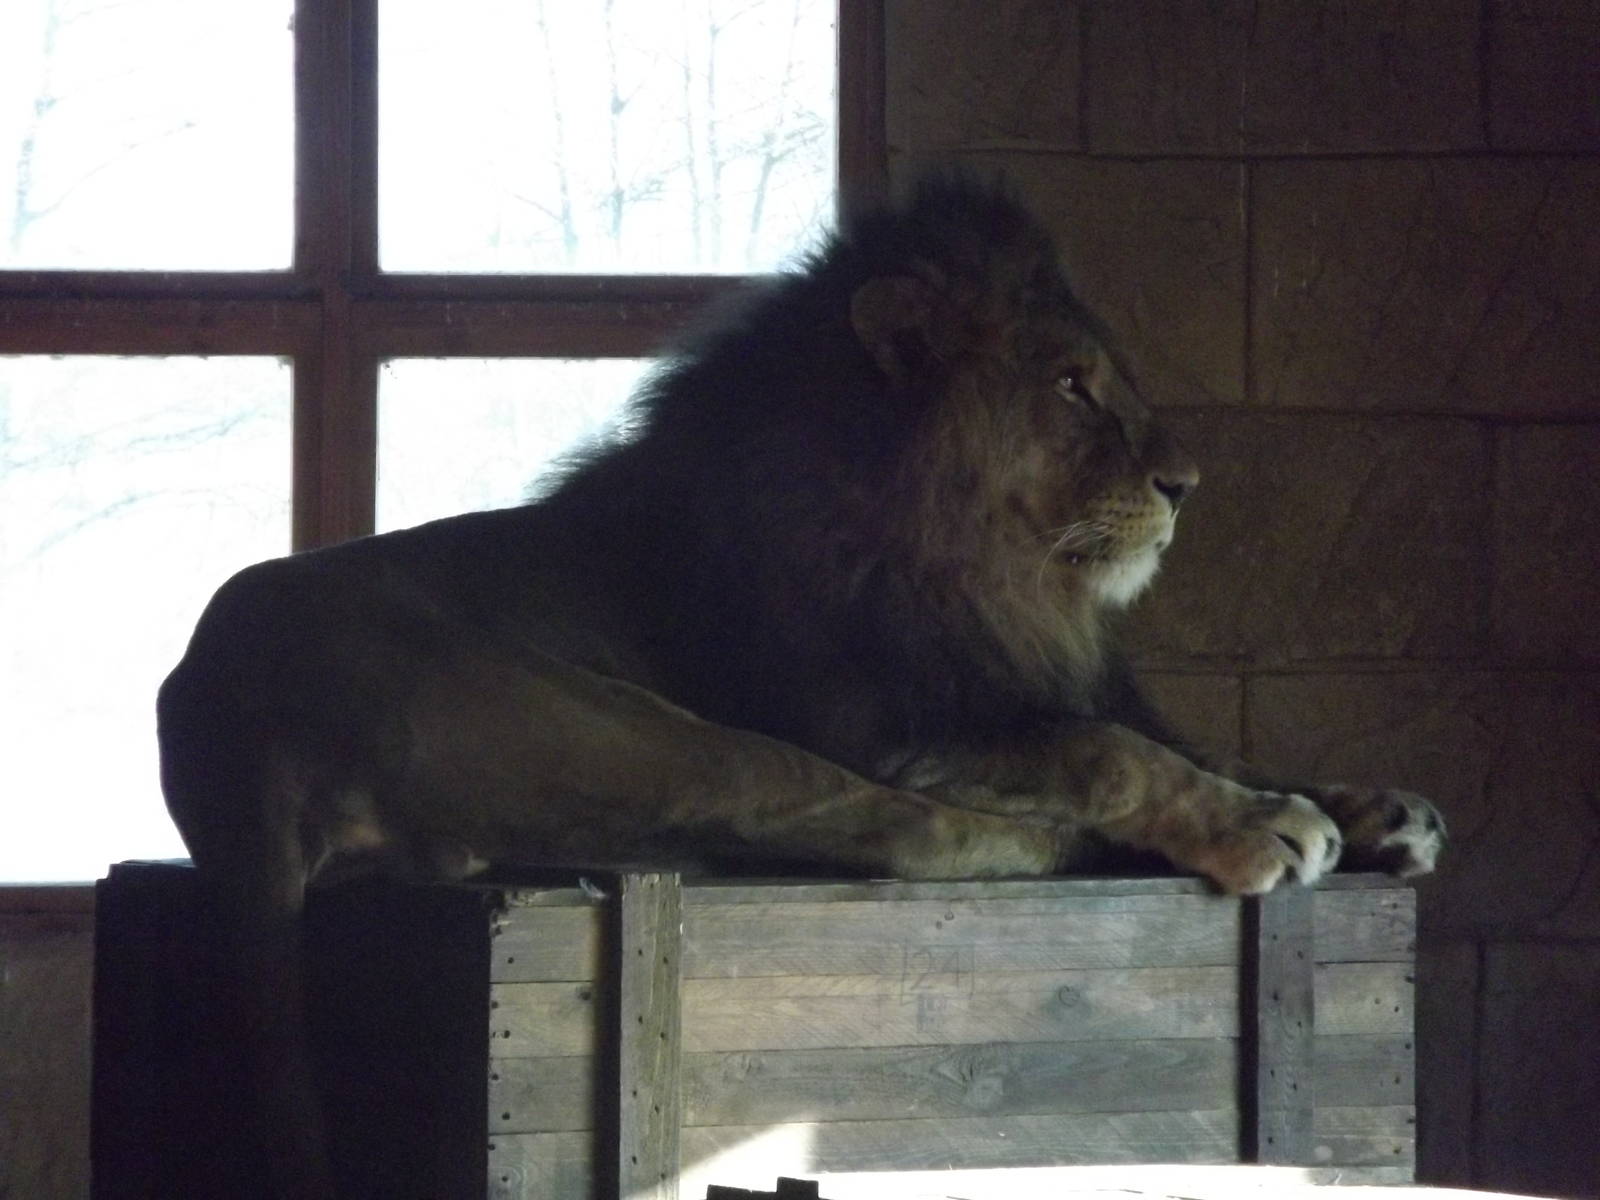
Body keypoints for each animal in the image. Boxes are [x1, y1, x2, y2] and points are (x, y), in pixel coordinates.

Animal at [157, 174, 1442, 1195]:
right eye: (1071, 388)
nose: (1186, 484)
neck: (984, 566)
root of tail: (224, 733)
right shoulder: (896, 724)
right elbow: (1110, 752)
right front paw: (1271, 828)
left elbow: (1202, 742)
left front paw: (1375, 808)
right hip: (656, 732)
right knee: (910, 834)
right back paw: (1065, 849)